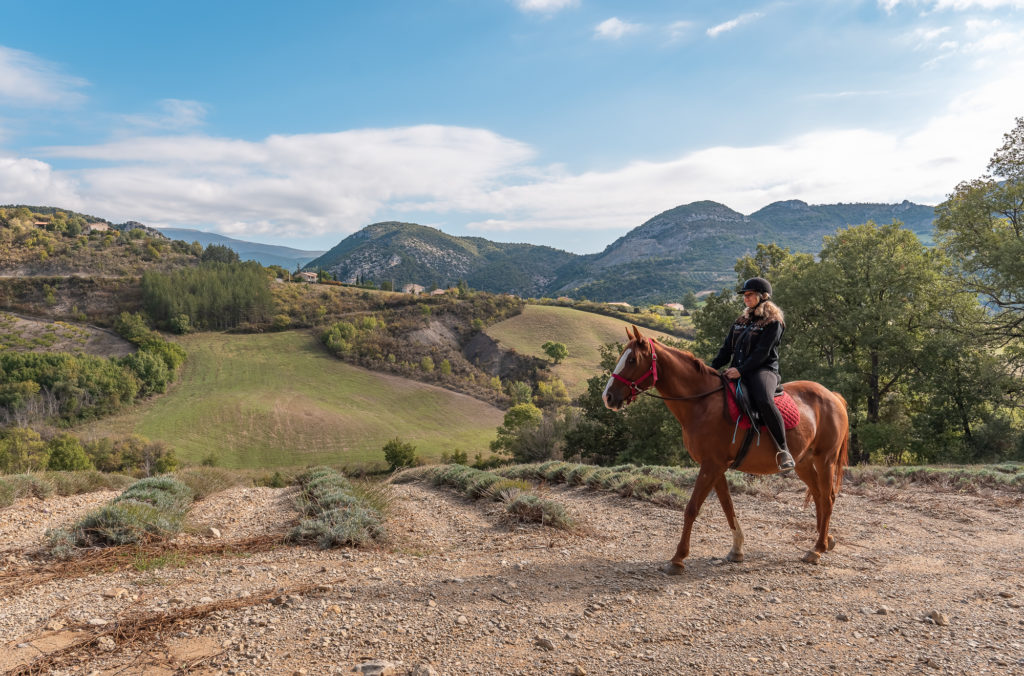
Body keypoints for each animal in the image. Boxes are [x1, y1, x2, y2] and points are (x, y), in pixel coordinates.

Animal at [598, 325, 847, 573]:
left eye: (632, 360)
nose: (607, 397)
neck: (702, 403)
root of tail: (832, 396)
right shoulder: (716, 467)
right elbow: (728, 506)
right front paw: (736, 549)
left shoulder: (711, 465)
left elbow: (692, 508)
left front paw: (678, 558)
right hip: (803, 462)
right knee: (818, 495)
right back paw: (826, 539)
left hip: (825, 460)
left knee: (827, 498)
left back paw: (817, 549)